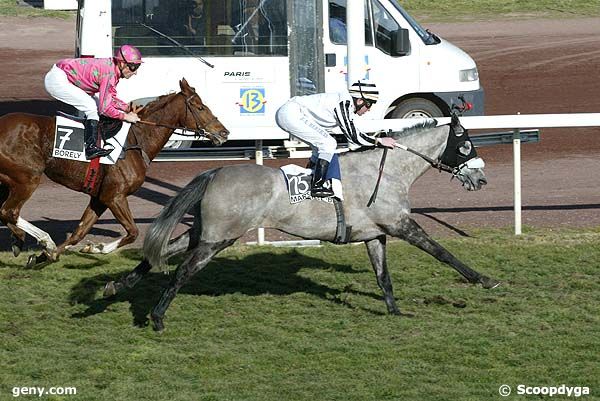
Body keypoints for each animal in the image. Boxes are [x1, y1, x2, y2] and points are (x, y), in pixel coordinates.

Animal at [0, 77, 229, 266]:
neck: (137, 140)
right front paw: (96, 247)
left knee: (5, 213)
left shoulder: (100, 197)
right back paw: (43, 239)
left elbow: (79, 232)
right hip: (28, 178)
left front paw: (48, 255)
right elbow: (133, 232)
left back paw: (19, 239)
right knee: (9, 211)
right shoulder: (115, 196)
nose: (224, 132)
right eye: (200, 107)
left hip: (10, 180)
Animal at [105, 117, 500, 330]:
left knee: (160, 253)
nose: (481, 179)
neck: (386, 172)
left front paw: (394, 310)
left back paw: (116, 286)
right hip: (218, 238)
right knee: (180, 272)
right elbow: (443, 253)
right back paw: (157, 316)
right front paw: (484, 279)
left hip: (205, 232)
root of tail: (215, 171)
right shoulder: (402, 225)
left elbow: (383, 276)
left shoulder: (375, 235)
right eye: (465, 145)